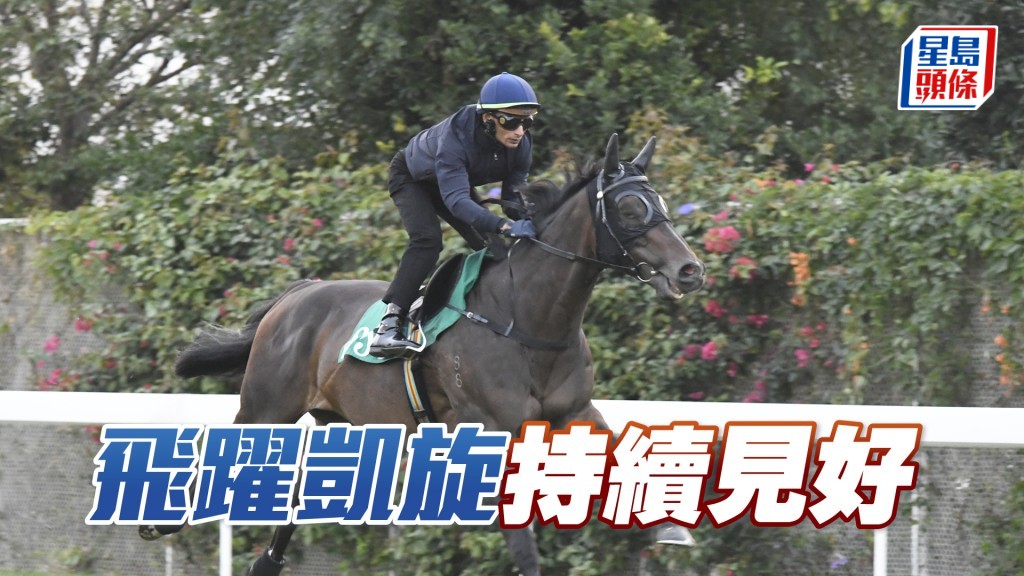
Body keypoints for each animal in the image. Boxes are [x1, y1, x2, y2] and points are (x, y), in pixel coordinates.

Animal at [144, 133, 705, 575]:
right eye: (630, 209)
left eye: (660, 202)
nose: (689, 270)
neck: (527, 317)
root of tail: (293, 297)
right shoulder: (494, 429)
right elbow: (523, 544)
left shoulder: (575, 412)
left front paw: (670, 528)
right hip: (266, 408)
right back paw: (161, 519)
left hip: (347, 425)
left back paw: (265, 562)